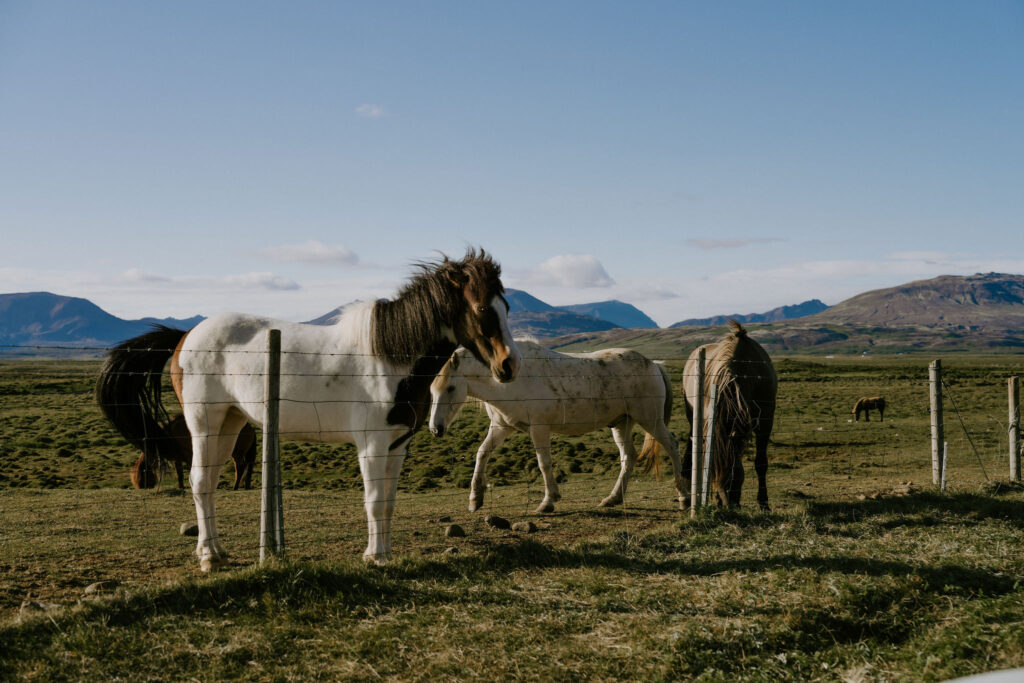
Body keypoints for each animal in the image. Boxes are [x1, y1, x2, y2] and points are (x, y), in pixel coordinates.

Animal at [96, 250, 520, 573]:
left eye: (507, 306)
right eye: (482, 307)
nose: (509, 365)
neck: (390, 358)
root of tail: (185, 336)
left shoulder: (397, 445)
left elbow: (387, 503)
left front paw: (383, 554)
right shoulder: (371, 446)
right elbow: (373, 501)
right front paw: (375, 557)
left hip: (230, 424)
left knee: (211, 483)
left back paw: (215, 551)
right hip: (205, 422)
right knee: (200, 483)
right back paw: (209, 559)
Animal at [428, 342, 684, 511]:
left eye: (451, 388)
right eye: (432, 390)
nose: (435, 429)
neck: (508, 382)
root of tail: (654, 365)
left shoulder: (539, 428)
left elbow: (544, 463)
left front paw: (548, 502)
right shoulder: (501, 427)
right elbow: (482, 453)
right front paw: (475, 499)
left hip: (650, 420)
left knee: (672, 445)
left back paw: (683, 495)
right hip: (622, 423)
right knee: (628, 457)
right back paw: (613, 499)